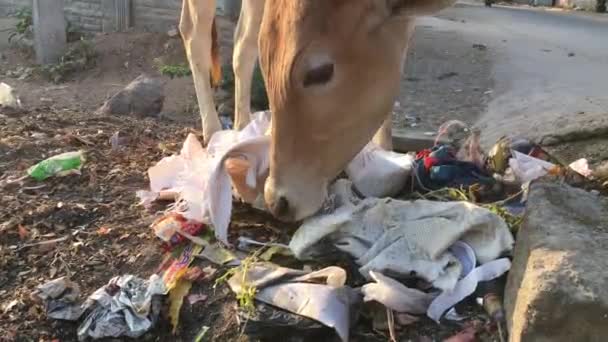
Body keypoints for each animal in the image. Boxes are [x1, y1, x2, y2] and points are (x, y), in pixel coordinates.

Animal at [180, 0, 456, 222]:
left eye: (320, 72)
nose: (277, 202)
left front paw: (384, 152)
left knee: (242, 46)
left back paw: (242, 125)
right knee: (195, 36)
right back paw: (213, 130)